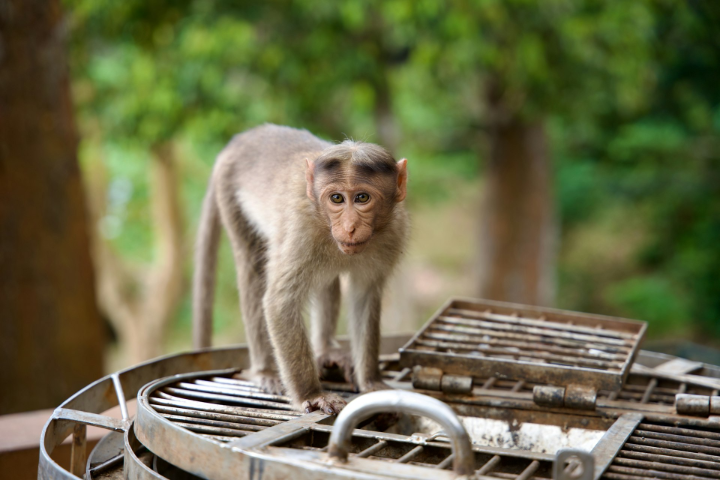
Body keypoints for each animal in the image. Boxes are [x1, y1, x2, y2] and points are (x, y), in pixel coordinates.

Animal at [192, 124, 409, 414]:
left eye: (362, 198)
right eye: (337, 198)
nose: (350, 226)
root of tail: (240, 139)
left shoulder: (393, 233)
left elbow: (365, 296)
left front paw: (371, 381)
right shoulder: (301, 230)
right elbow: (279, 302)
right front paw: (312, 394)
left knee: (327, 278)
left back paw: (325, 350)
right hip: (229, 193)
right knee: (252, 267)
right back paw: (265, 371)